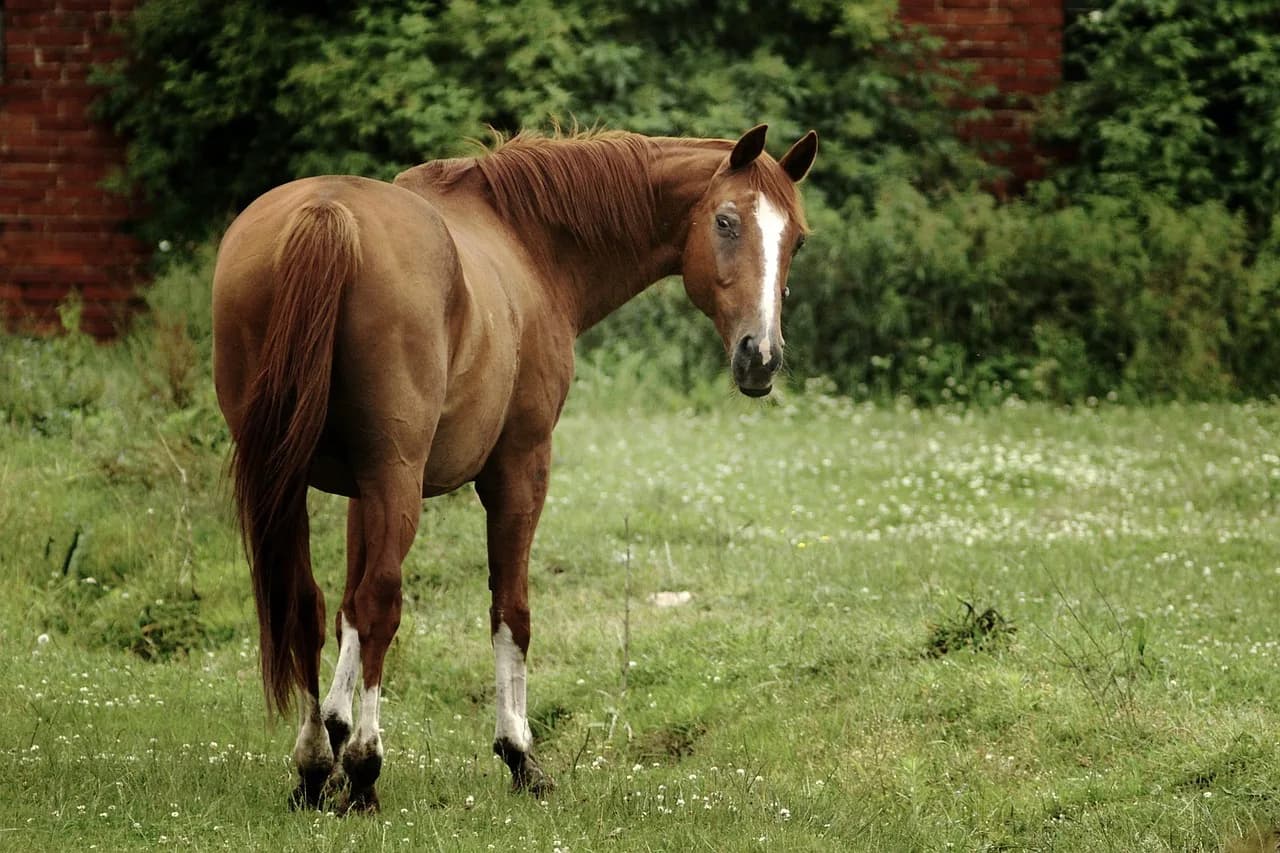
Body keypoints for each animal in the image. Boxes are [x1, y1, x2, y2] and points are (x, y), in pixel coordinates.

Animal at [211, 124, 817, 811]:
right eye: (725, 221)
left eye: (796, 239)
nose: (760, 357)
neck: (529, 243)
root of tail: (327, 214)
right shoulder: (518, 467)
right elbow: (510, 611)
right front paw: (518, 755)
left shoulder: (361, 490)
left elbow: (344, 611)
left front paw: (337, 734)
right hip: (395, 479)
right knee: (381, 602)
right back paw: (366, 767)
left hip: (296, 481)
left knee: (307, 603)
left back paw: (315, 766)